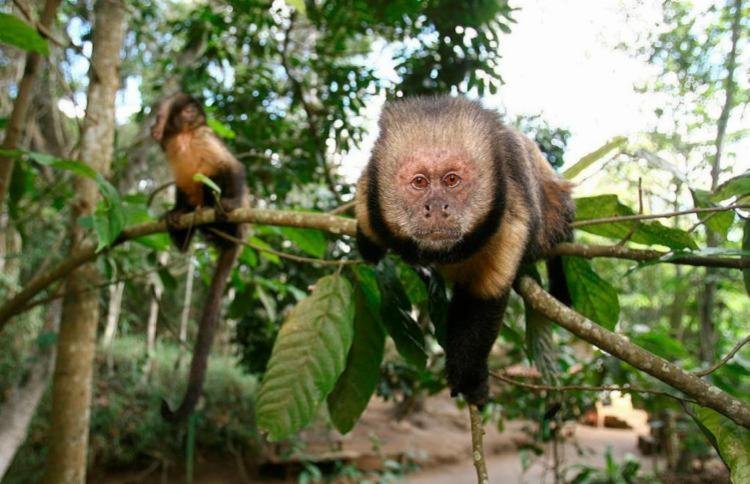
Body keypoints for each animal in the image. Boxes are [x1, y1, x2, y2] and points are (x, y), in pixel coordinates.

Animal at [151, 92, 250, 422]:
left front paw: (229, 201)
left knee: (216, 179)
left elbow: (232, 168)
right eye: (156, 117)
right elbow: (181, 185)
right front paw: (176, 212)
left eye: (191, 112)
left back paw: (215, 208)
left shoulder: (204, 136)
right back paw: (184, 221)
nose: (153, 127)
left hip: (237, 225)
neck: (182, 137)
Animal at [356, 94, 576, 404]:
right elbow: (367, 232)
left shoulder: (510, 218)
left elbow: (482, 298)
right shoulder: (369, 197)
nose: (437, 206)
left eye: (451, 180)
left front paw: (469, 378)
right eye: (419, 182)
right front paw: (371, 248)